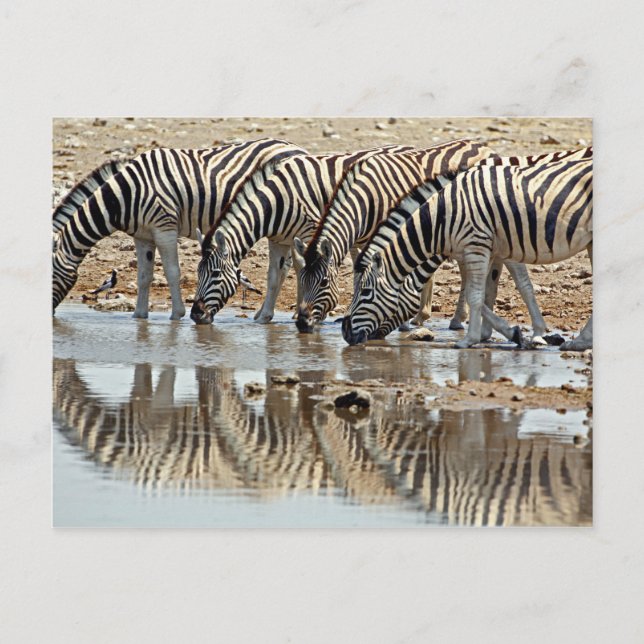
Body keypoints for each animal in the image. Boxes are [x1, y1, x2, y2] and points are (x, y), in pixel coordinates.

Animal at [52, 138, 306, 319]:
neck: (125, 195)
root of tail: (297, 148)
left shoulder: (164, 227)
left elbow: (172, 272)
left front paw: (177, 315)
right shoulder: (142, 236)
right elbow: (144, 276)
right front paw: (139, 316)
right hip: (283, 229)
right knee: (286, 268)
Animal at [189, 145, 417, 325]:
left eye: (215, 274)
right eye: (198, 273)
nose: (195, 315)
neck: (275, 201)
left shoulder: (311, 231)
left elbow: (305, 270)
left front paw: (308, 313)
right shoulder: (278, 240)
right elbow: (274, 276)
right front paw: (265, 317)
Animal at [290, 139, 496, 333]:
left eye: (324, 283)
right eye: (302, 280)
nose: (302, 323)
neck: (367, 198)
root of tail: (482, 146)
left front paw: (399, 321)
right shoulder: (359, 241)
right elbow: (361, 274)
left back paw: (455, 319)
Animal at [342, 154, 593, 350]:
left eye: (365, 293)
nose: (345, 332)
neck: (442, 219)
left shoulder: (478, 246)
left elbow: (479, 294)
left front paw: (470, 339)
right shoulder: (495, 249)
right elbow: (496, 292)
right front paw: (510, 332)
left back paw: (580, 342)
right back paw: (580, 341)